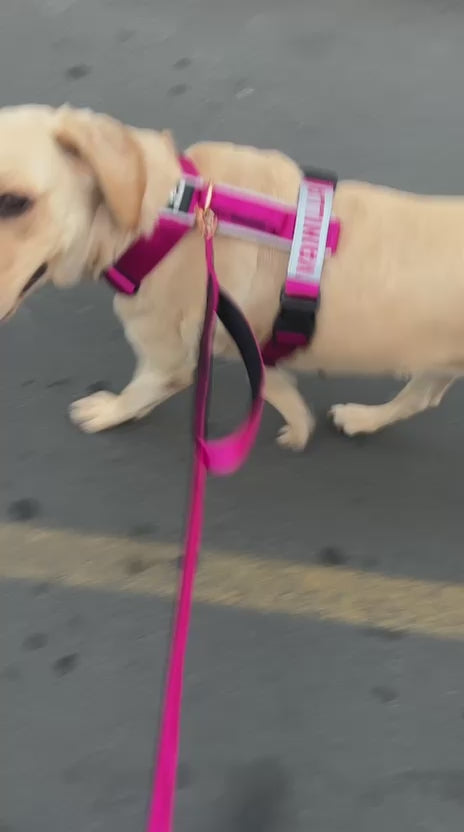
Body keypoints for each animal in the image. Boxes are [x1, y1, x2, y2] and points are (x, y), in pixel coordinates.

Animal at [0, 104, 461, 449]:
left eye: (15, 202)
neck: (176, 213)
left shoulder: (166, 358)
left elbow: (138, 392)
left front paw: (109, 411)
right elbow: (276, 385)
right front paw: (298, 424)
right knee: (422, 397)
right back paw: (364, 419)